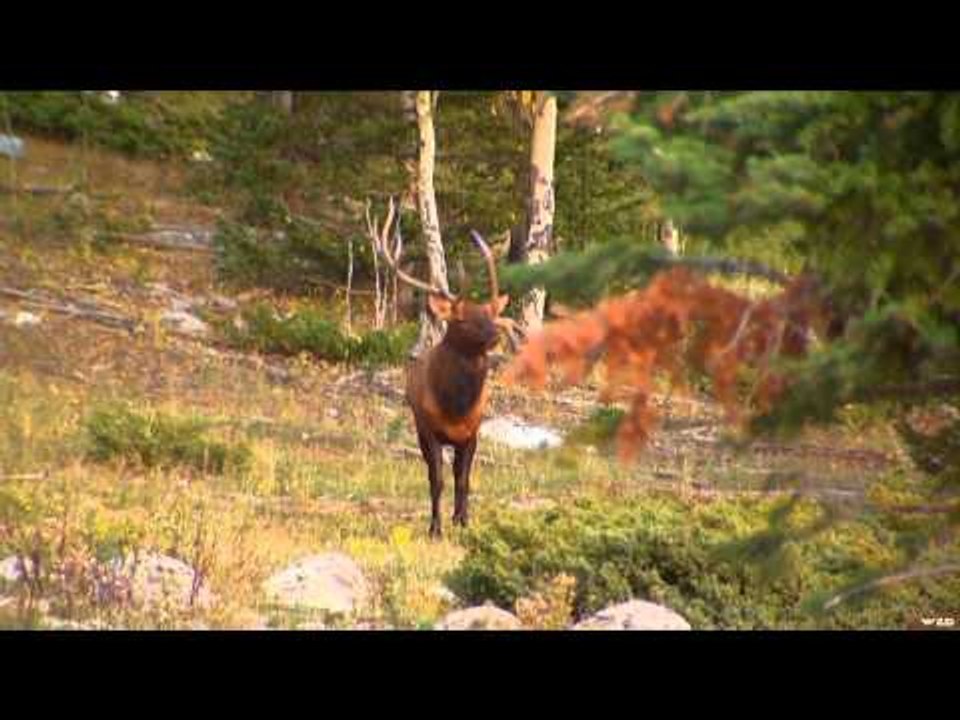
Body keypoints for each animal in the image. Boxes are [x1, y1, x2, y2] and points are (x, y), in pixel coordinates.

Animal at [368, 198, 520, 538]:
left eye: (490, 312)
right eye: (461, 319)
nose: (497, 332)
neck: (456, 406)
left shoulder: (473, 432)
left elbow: (463, 480)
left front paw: (463, 521)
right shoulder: (429, 429)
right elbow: (436, 480)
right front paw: (435, 529)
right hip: (419, 430)